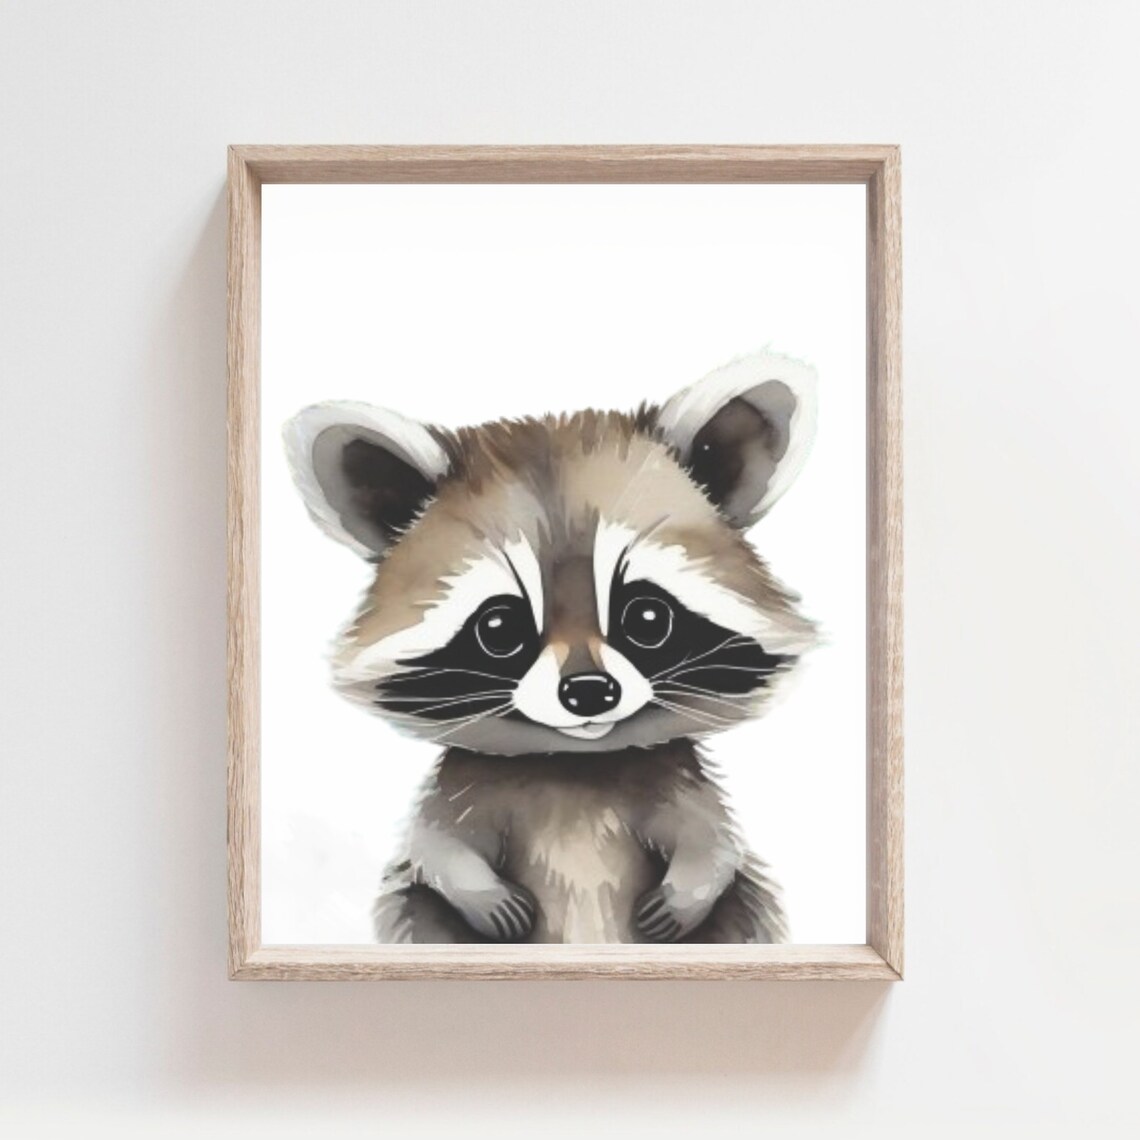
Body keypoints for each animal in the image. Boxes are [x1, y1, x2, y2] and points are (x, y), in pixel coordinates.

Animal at [284, 351, 819, 944]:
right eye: (499, 629)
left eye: (647, 618)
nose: (588, 691)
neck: (572, 762)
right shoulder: (464, 785)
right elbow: (435, 844)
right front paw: (480, 893)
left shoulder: (676, 780)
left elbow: (711, 838)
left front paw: (688, 892)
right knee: (414, 906)